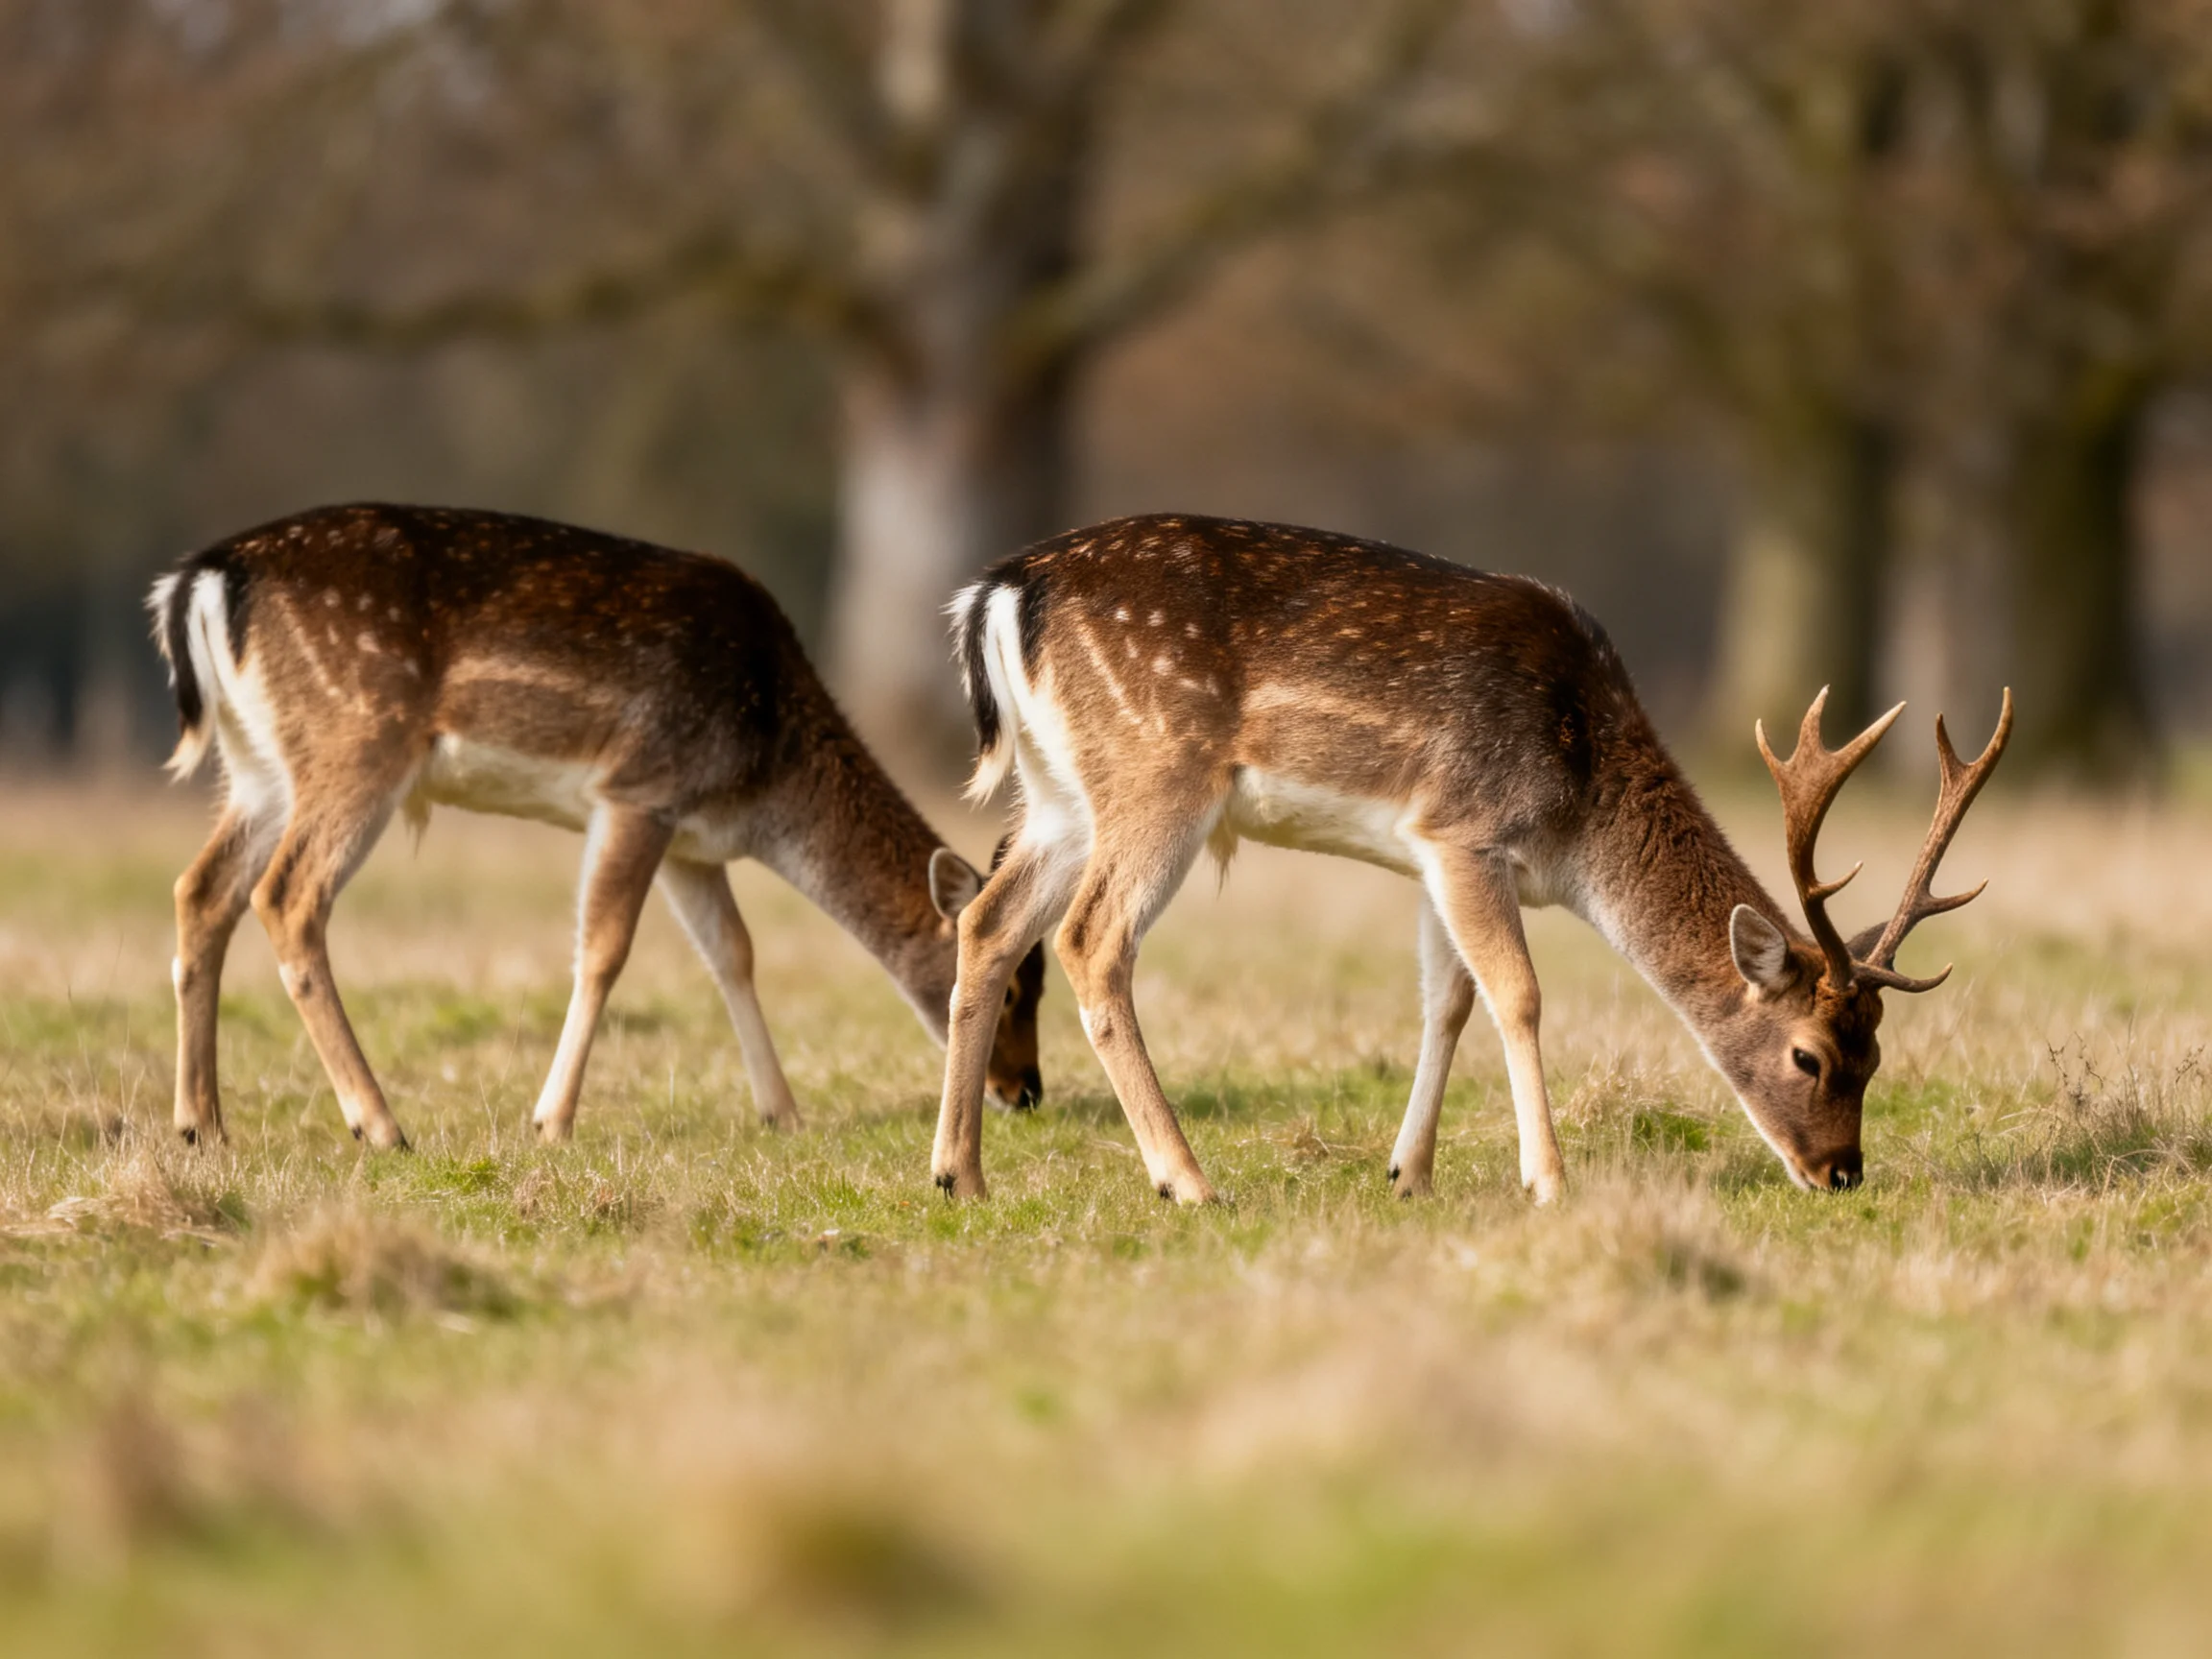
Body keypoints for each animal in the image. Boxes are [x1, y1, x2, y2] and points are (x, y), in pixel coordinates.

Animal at [148, 503, 1046, 1151]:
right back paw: (379, 1123)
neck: (766, 784)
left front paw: (782, 1113)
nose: (1025, 1092)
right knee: (287, 895)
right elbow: (606, 948)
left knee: (200, 889)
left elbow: (732, 953)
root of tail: (202, 580)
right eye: (1008, 992)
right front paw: (550, 1121)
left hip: (259, 767)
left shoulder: (691, 839)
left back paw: (202, 1123)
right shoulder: (638, 789)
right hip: (357, 739)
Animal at [934, 514, 2011, 1205]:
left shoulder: (1430, 857)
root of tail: (998, 592)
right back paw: (1188, 1182)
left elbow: (1446, 1000)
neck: (1579, 821)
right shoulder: (1464, 829)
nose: (1842, 1174)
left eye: (1879, 1056)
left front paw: (1407, 1174)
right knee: (1091, 939)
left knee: (987, 920)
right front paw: (1549, 1181)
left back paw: (960, 1176)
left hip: (1061, 798)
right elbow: (1518, 995)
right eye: (1810, 1054)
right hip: (1157, 771)